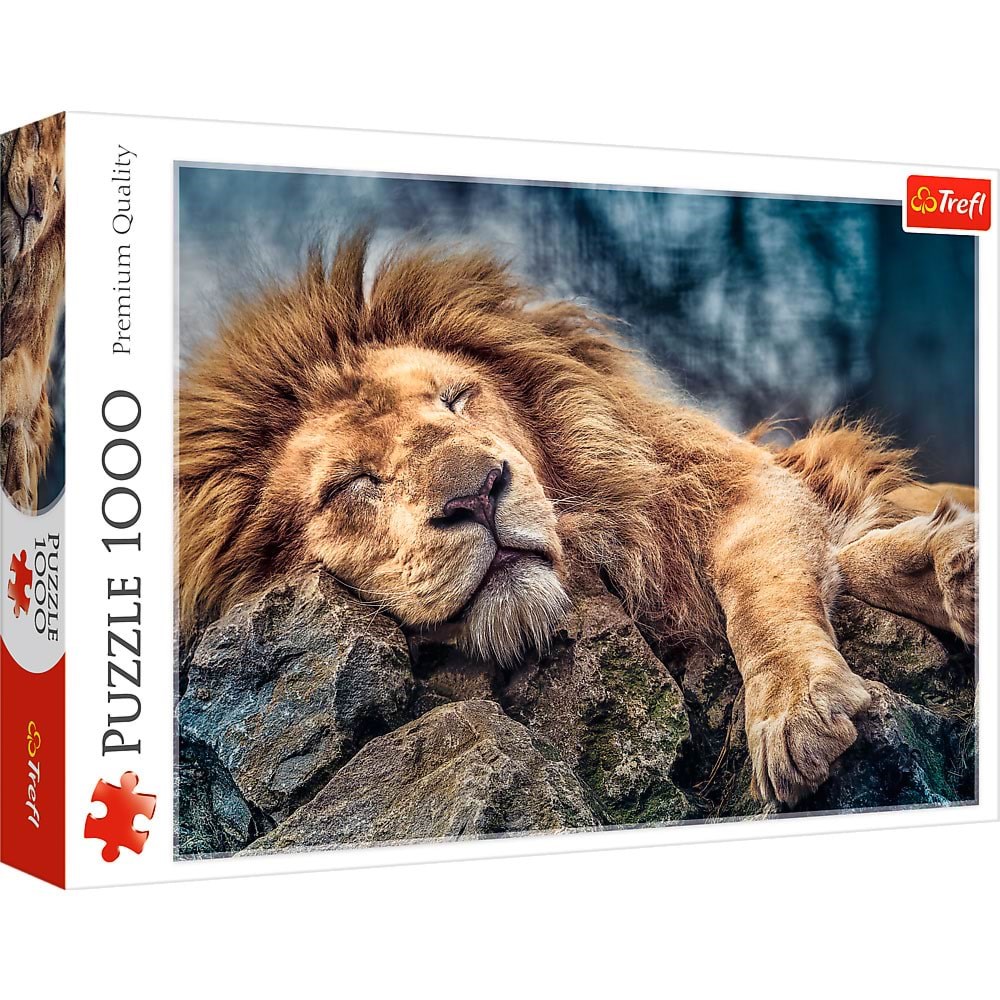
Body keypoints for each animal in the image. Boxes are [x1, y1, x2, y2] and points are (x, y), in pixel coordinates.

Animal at [178, 232, 977, 807]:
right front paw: (946, 567)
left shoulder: (737, 484)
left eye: (456, 399)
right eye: (352, 484)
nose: (478, 494)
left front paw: (797, 708)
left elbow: (764, 592)